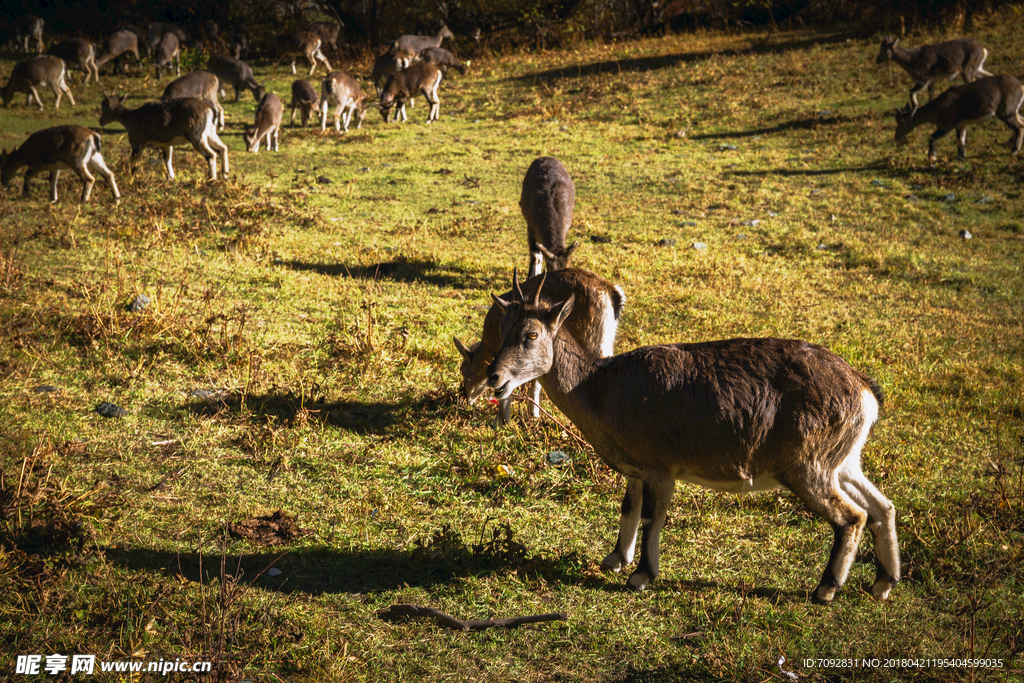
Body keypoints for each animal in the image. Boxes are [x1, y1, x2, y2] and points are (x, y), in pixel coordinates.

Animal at [98, 92, 229, 181]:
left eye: (105, 107)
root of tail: (210, 109)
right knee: (223, 148)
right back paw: (225, 175)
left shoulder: (138, 143)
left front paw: (130, 176)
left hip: (197, 135)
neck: (131, 118)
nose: (100, 121)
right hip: (210, 133)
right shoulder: (166, 144)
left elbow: (134, 161)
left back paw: (212, 178)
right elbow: (167, 158)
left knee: (211, 154)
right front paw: (171, 177)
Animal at [456, 268, 622, 423]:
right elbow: (534, 381)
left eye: (462, 369)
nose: (465, 396)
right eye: (502, 329)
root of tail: (614, 293)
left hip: (592, 341)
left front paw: (501, 421)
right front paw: (533, 415)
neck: (489, 346)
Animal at [485, 270, 897, 602]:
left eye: (531, 334)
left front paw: (641, 576)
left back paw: (826, 588)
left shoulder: (660, 466)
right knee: (883, 506)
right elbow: (629, 508)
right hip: (843, 460)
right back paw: (883, 583)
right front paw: (615, 559)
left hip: (806, 465)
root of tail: (865, 391)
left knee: (853, 516)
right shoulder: (638, 468)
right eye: (503, 330)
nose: (495, 377)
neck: (601, 390)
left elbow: (652, 517)